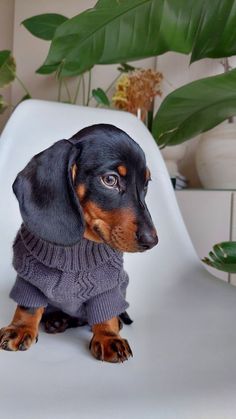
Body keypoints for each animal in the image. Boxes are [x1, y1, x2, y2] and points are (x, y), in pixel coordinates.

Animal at [0, 124, 159, 364]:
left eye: (146, 184)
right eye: (110, 180)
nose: (152, 241)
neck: (76, 248)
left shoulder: (106, 286)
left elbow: (106, 313)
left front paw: (108, 336)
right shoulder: (30, 279)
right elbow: (28, 307)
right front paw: (20, 328)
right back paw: (57, 320)